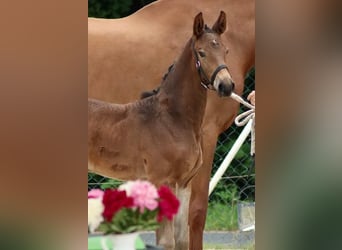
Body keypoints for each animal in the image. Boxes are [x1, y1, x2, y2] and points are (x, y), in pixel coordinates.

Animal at [88, 0, 254, 248]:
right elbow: (170, 238)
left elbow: (181, 237)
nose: (226, 85)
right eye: (202, 52)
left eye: (225, 50)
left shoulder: (183, 183)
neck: (172, 118)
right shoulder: (163, 180)